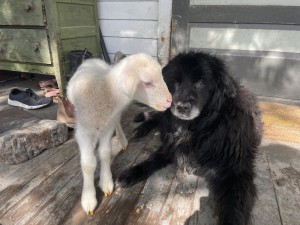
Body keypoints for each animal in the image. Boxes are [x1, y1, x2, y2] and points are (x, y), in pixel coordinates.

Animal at [67, 53, 172, 215]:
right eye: (147, 82)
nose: (170, 101)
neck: (103, 90)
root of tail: (92, 59)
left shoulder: (107, 128)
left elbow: (105, 153)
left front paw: (106, 182)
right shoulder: (83, 132)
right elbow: (88, 163)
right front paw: (89, 198)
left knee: (117, 121)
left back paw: (122, 140)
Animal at [116, 51, 262, 224]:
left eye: (201, 82)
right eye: (175, 82)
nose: (181, 107)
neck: (198, 129)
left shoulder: (237, 172)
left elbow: (234, 209)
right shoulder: (172, 145)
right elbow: (152, 159)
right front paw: (131, 173)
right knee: (159, 117)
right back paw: (141, 125)